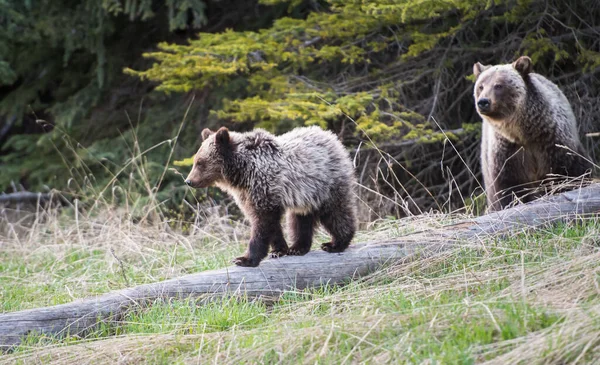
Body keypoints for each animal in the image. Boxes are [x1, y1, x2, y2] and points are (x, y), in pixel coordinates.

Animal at [185, 126, 358, 266]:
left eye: (200, 162)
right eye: (195, 161)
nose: (189, 181)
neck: (243, 172)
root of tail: (331, 136)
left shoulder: (263, 187)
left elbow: (262, 224)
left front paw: (245, 259)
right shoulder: (251, 195)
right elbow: (271, 224)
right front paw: (279, 249)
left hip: (326, 185)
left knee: (336, 212)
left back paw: (335, 243)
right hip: (305, 195)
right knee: (300, 219)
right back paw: (298, 247)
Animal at [474, 54, 592, 210]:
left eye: (498, 85)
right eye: (481, 86)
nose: (483, 102)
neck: (524, 133)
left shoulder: (554, 143)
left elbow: (571, 173)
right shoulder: (507, 154)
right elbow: (507, 189)